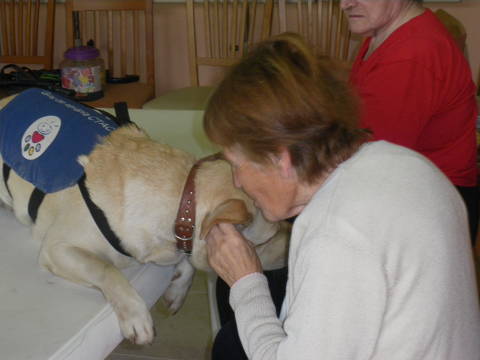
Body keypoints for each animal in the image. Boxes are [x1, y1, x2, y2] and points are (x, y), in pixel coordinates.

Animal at [0, 91, 288, 344]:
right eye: (266, 240)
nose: (291, 246)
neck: (182, 197)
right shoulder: (57, 247)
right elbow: (107, 269)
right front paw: (136, 315)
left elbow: (187, 262)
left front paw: (177, 290)